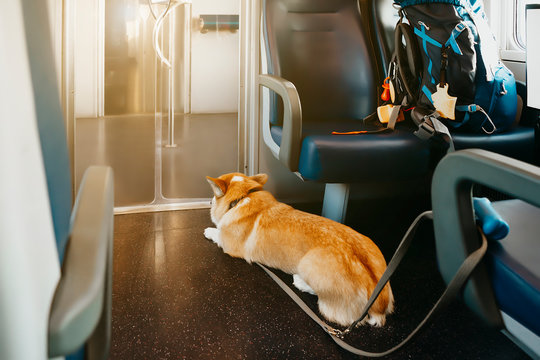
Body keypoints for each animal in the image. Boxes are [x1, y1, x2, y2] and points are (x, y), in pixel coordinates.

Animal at [205, 173, 394, 328]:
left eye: (214, 194)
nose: (209, 202)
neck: (243, 197)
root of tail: (379, 301)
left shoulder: (229, 244)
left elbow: (217, 233)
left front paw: (208, 230)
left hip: (307, 263)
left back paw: (300, 282)